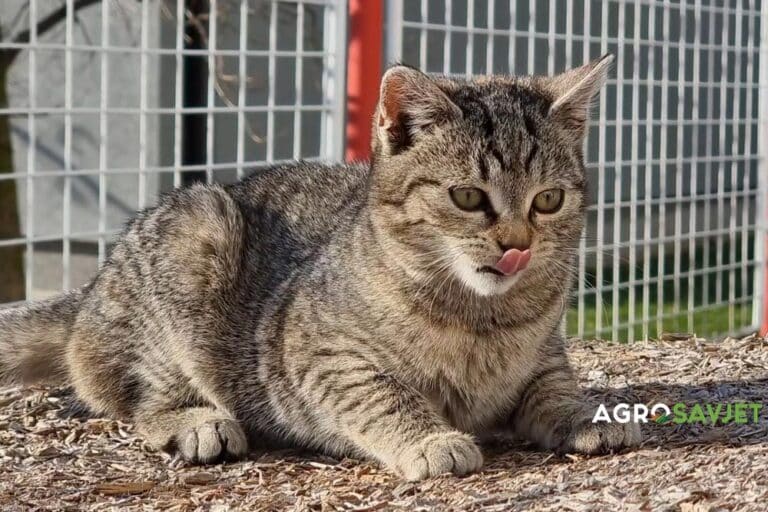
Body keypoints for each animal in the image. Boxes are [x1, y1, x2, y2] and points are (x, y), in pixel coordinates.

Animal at [0, 56, 640, 480]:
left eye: (548, 201)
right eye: (467, 198)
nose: (517, 247)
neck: (483, 317)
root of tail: (89, 292)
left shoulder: (545, 356)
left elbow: (554, 388)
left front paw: (585, 412)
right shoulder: (320, 356)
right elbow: (383, 394)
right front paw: (431, 438)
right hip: (196, 235)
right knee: (136, 398)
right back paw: (196, 421)